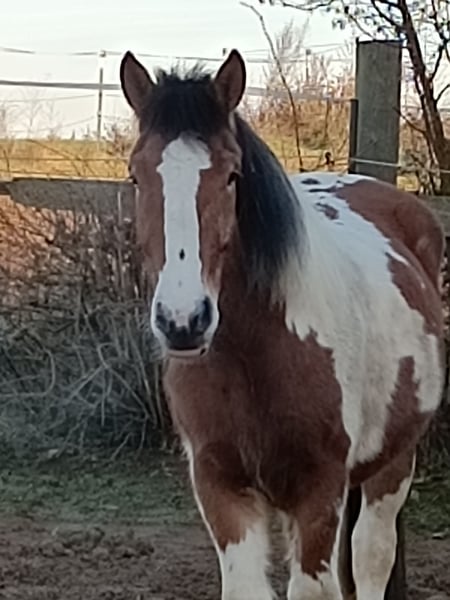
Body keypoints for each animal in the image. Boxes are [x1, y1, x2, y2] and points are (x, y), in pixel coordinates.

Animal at [119, 49, 444, 600]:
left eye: (232, 175)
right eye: (137, 176)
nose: (183, 322)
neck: (255, 357)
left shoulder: (319, 488)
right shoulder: (220, 484)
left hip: (394, 460)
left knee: (372, 556)